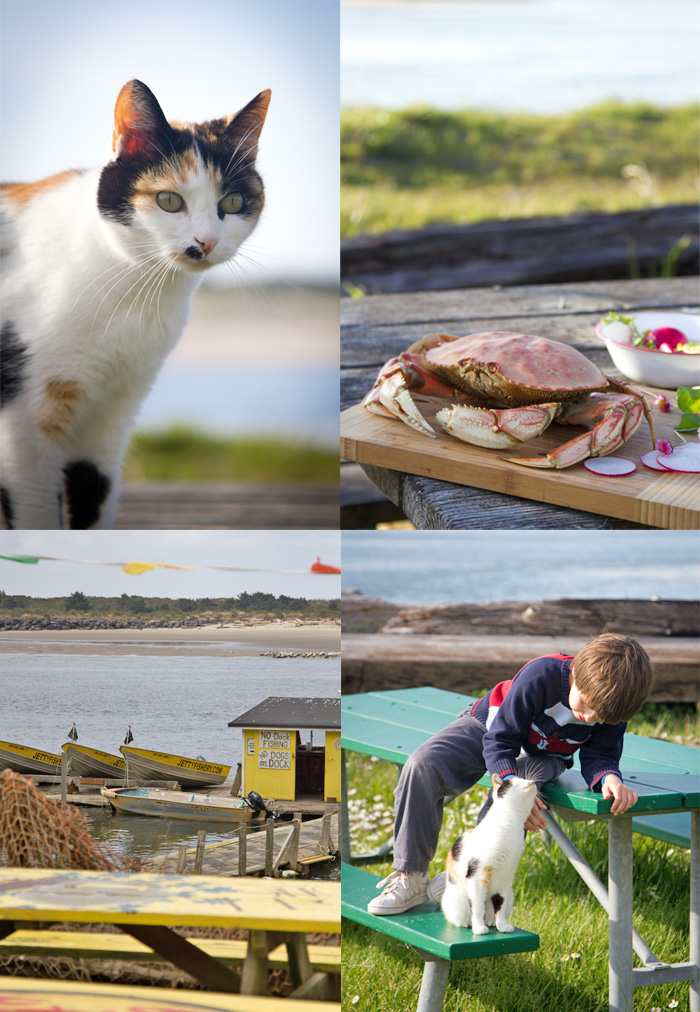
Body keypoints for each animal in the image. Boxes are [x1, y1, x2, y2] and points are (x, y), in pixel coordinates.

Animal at [0, 78, 271, 530]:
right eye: (168, 201)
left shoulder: (113, 415)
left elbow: (93, 502)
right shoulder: (25, 431)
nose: (206, 242)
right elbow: (38, 516)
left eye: (233, 203)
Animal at [443, 773, 534, 931]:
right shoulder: (477, 875)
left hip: (510, 893)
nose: (532, 781)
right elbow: (478, 905)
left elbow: (500, 904)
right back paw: (469, 923)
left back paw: (491, 922)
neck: (512, 820)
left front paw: (502, 926)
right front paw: (479, 927)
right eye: (515, 780)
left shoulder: (504, 878)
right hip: (458, 899)